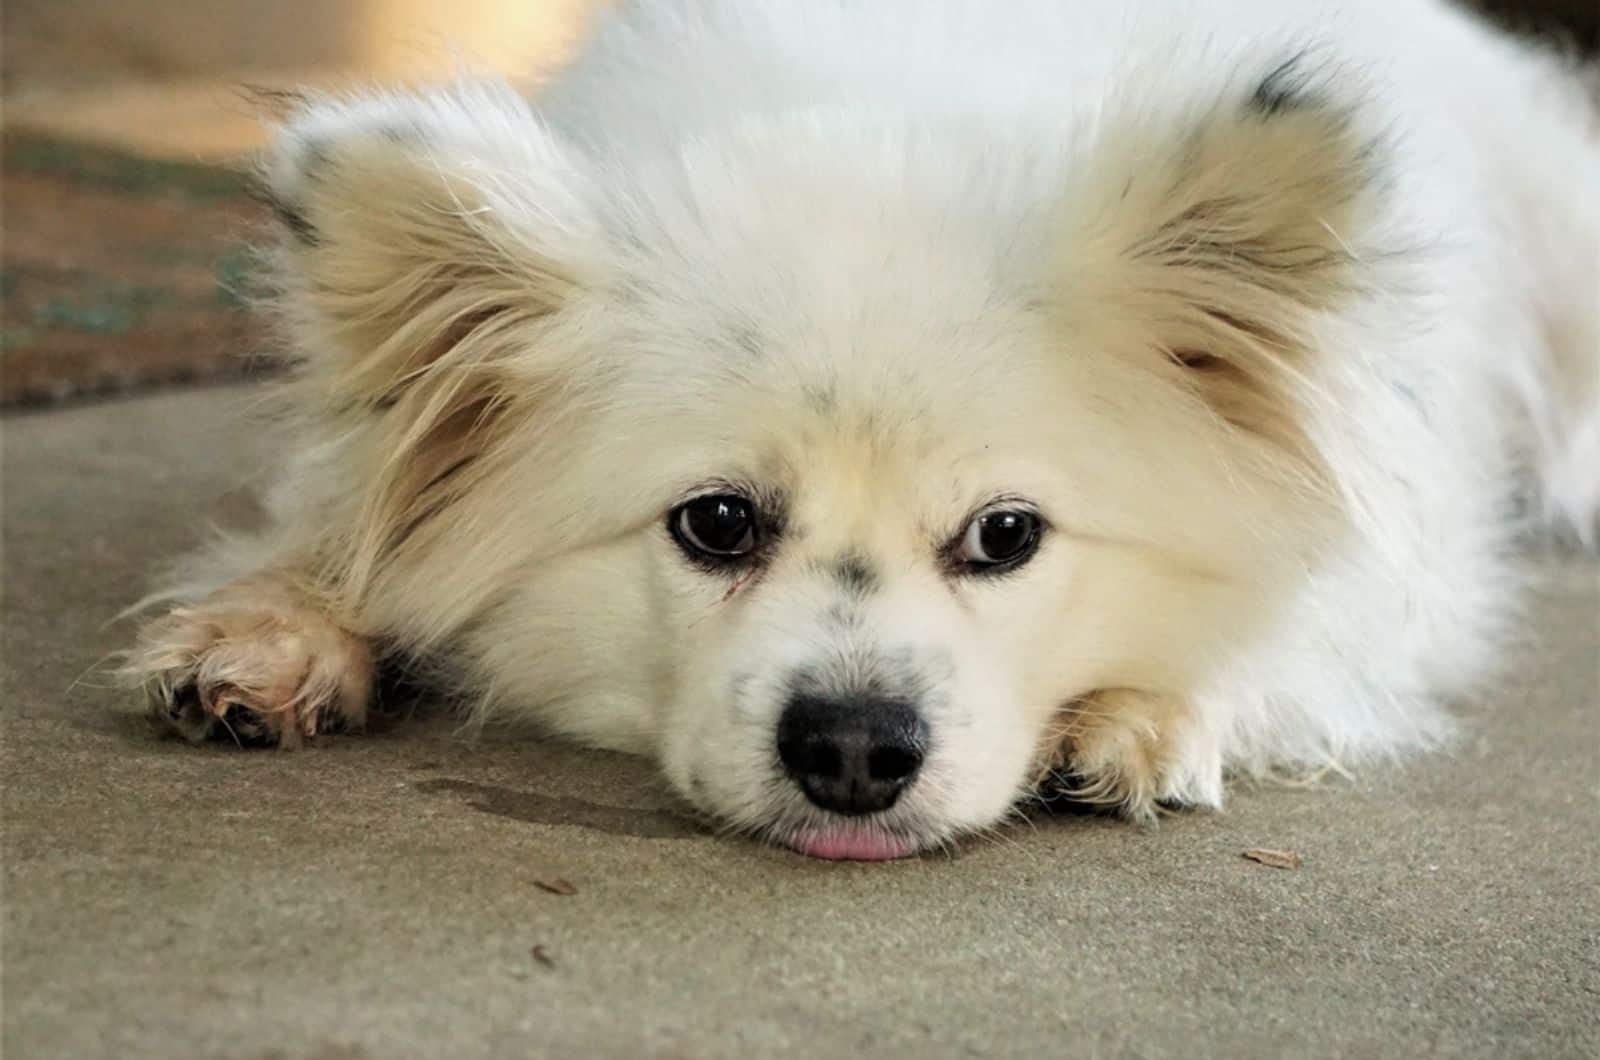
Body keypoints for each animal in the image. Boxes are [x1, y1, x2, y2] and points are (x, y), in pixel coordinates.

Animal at [131, 0, 1593, 864]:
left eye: (1005, 537)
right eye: (716, 523)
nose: (851, 748)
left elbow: (1298, 618)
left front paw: (1150, 709)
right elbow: (339, 520)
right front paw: (272, 632)